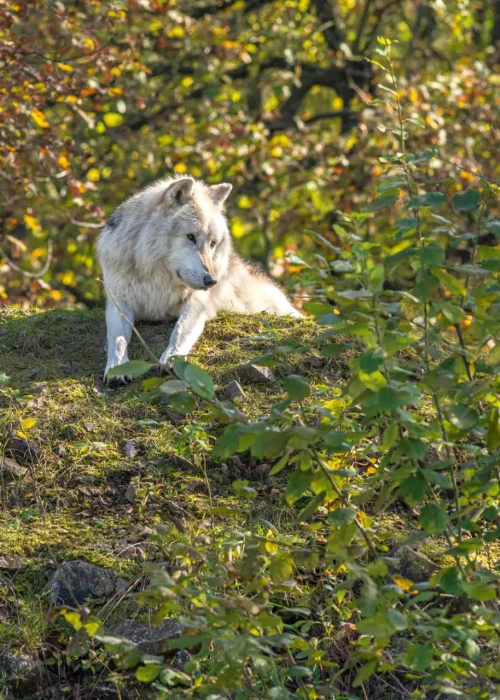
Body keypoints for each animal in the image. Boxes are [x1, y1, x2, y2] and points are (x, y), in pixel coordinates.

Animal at [97, 176, 302, 384]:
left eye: (212, 243)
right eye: (191, 237)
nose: (211, 281)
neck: (158, 278)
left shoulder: (197, 303)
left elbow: (180, 331)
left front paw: (172, 358)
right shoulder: (119, 304)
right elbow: (117, 338)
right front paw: (117, 368)